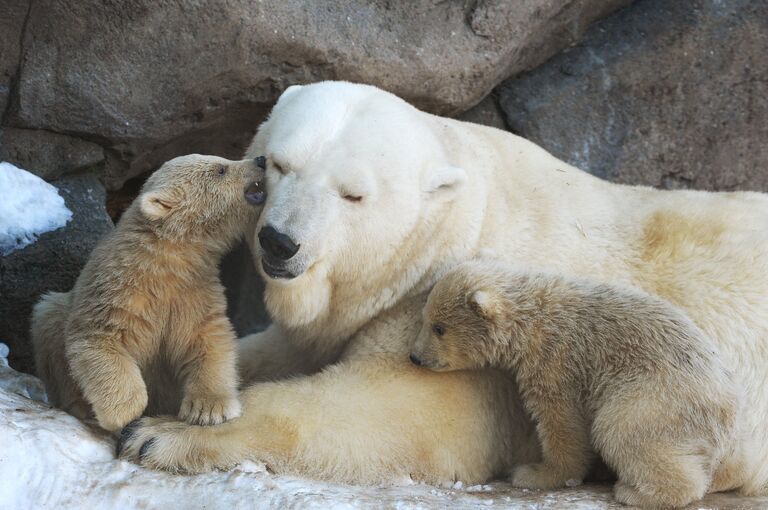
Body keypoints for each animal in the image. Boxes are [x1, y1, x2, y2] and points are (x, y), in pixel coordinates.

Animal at [118, 81, 768, 492]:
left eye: (353, 194)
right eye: (276, 164)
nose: (279, 243)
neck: (459, 218)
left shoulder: (459, 315)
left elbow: (403, 413)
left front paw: (158, 434)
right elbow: (272, 349)